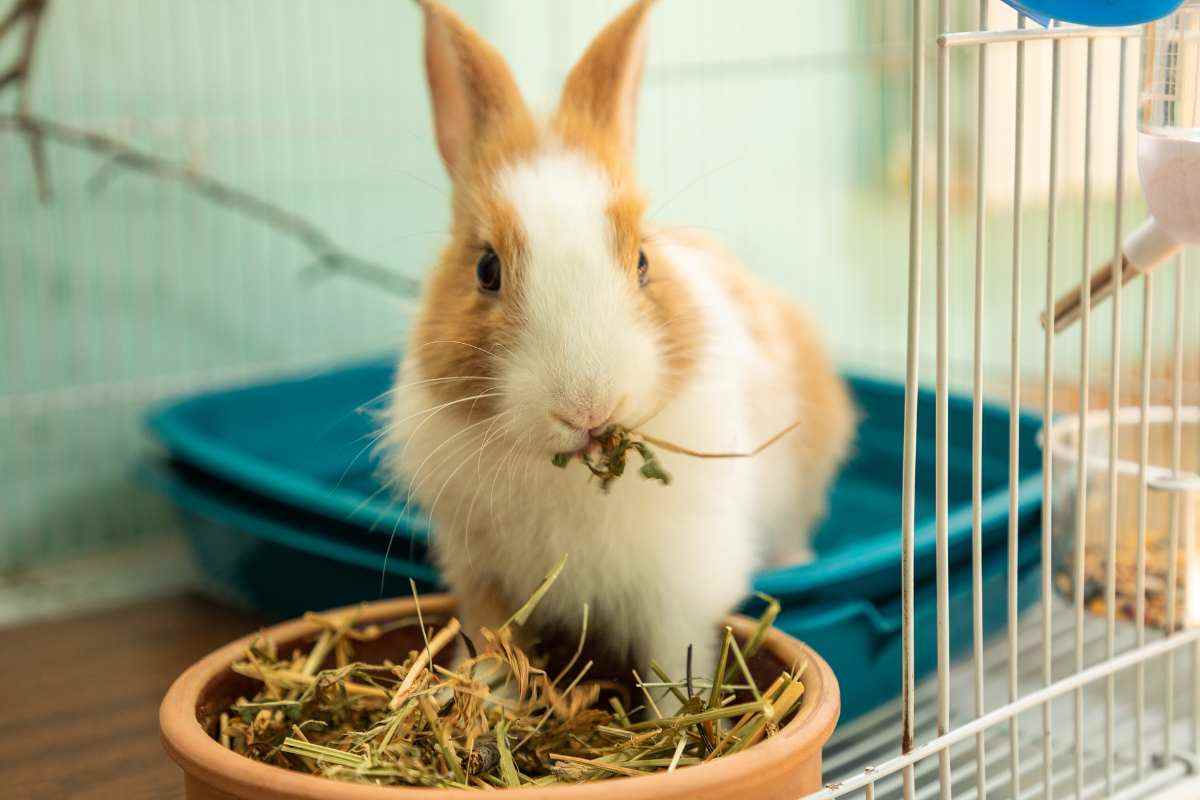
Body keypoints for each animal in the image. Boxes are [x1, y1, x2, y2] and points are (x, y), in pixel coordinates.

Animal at [384, 0, 854, 695]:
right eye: (486, 269)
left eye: (642, 261)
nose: (589, 409)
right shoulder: (484, 581)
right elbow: (495, 656)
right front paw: (492, 702)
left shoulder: (678, 590)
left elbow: (673, 671)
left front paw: (679, 718)